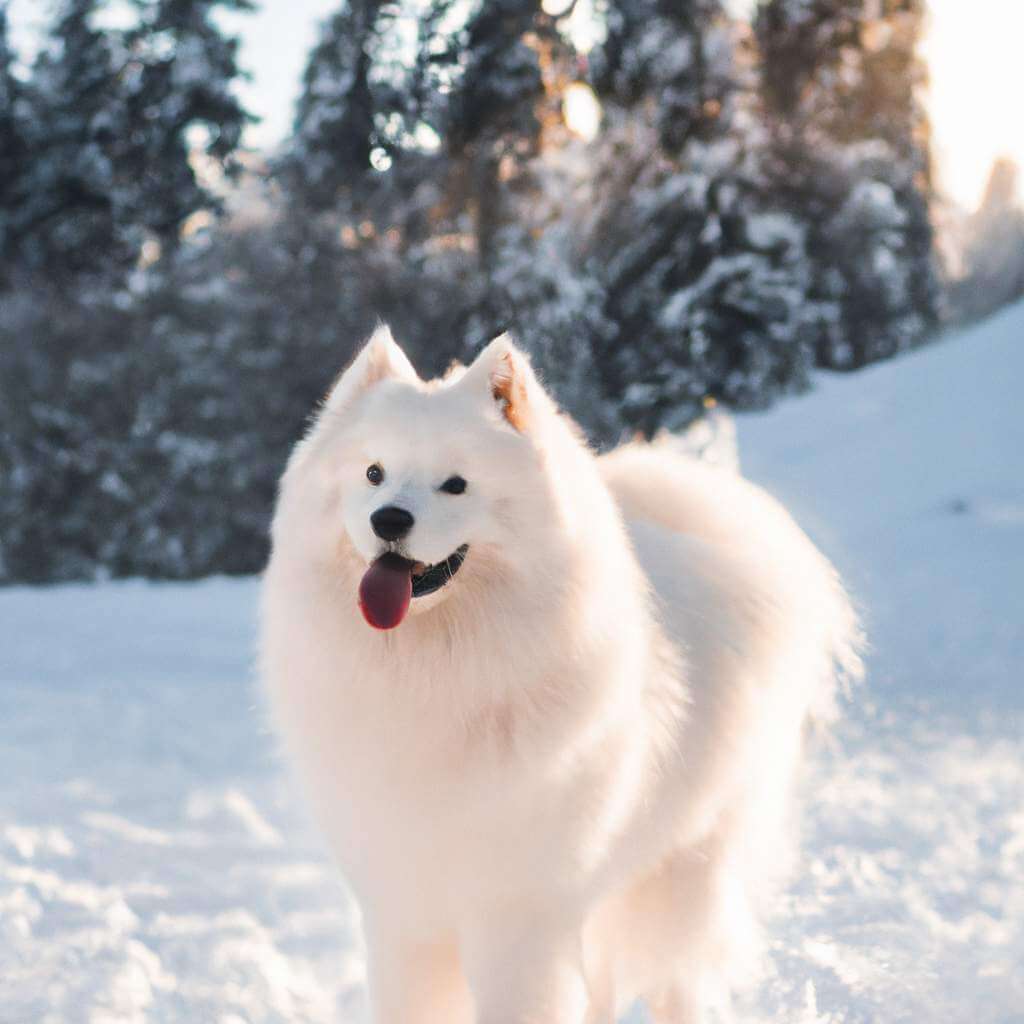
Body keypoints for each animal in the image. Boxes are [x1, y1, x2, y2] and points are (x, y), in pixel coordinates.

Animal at [260, 327, 860, 1024]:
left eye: (456, 485)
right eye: (373, 473)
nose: (389, 519)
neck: (435, 668)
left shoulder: (519, 915)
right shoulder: (404, 911)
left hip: (683, 870)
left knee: (678, 980)